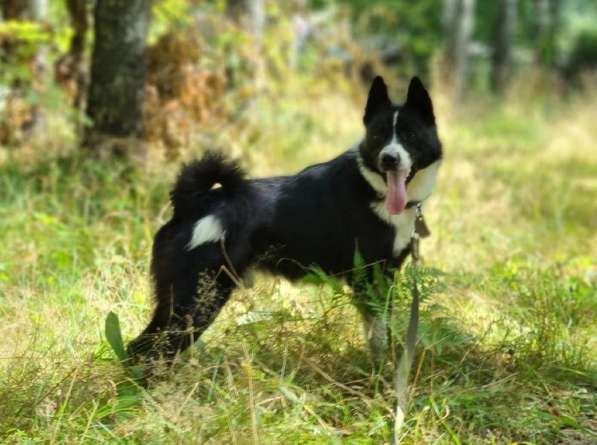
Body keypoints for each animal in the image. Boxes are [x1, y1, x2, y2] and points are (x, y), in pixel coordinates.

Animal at [127, 76, 442, 366]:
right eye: (378, 136)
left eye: (410, 134)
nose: (389, 158)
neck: (373, 187)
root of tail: (193, 202)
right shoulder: (369, 278)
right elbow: (378, 335)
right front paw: (381, 373)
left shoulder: (386, 274)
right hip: (198, 301)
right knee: (149, 350)